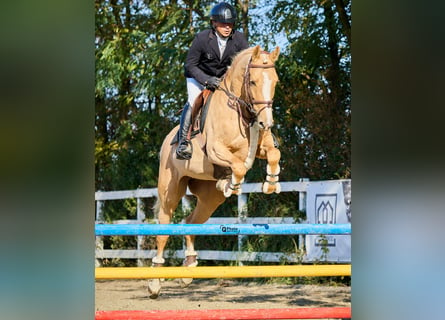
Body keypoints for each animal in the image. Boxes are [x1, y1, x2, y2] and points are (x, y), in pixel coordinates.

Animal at [149, 45, 280, 298]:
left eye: (275, 81)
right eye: (253, 81)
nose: (266, 124)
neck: (242, 112)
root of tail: (166, 141)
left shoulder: (261, 147)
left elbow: (273, 154)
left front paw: (270, 183)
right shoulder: (216, 150)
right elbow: (239, 166)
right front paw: (232, 184)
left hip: (210, 199)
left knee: (190, 222)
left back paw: (189, 268)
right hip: (170, 190)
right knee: (163, 229)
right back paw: (154, 282)